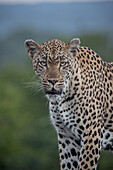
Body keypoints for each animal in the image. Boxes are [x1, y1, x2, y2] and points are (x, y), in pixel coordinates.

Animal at [24, 37, 113, 169]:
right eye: (43, 63)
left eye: (63, 63)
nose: (53, 81)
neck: (61, 100)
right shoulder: (67, 136)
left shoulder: (91, 133)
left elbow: (85, 165)